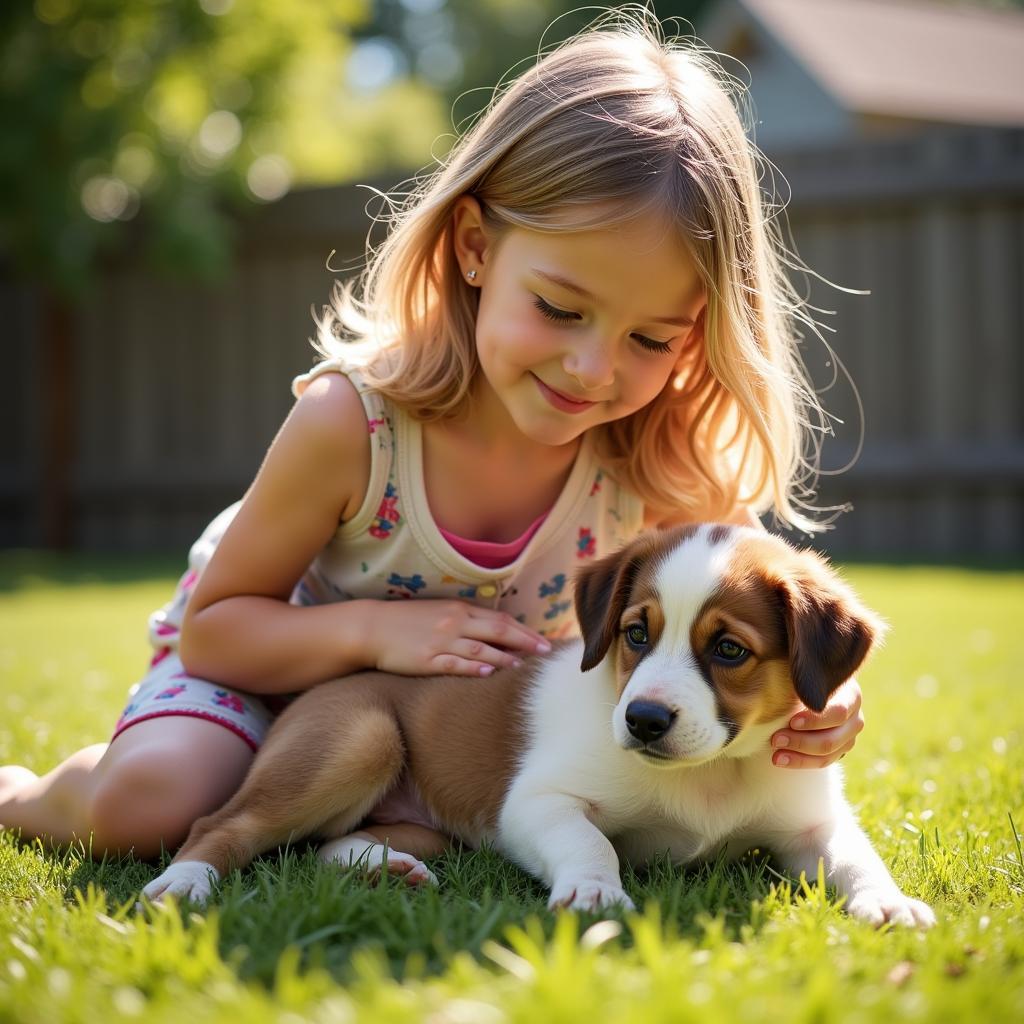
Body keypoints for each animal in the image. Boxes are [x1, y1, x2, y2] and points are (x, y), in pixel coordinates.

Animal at [142, 528, 937, 929]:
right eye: (635, 634)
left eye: (729, 650)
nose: (643, 720)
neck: (709, 773)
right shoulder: (534, 803)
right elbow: (589, 841)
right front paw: (592, 891)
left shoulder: (813, 824)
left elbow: (857, 857)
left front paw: (889, 902)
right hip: (358, 738)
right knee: (224, 823)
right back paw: (181, 885)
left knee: (325, 846)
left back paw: (388, 868)